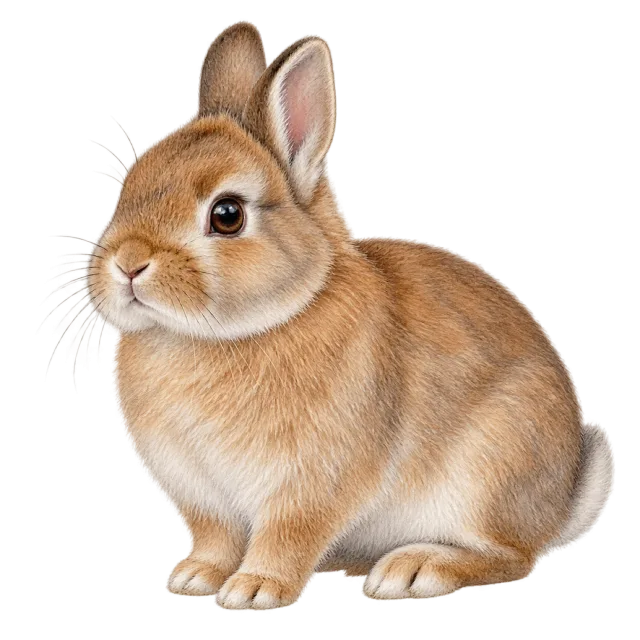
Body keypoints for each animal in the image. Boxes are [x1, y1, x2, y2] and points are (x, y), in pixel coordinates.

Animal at [87, 21, 616, 610]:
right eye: (129, 189)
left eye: (227, 215)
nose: (127, 263)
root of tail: (562, 502)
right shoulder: (200, 493)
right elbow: (215, 536)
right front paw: (194, 578)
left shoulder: (313, 481)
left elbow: (288, 534)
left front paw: (254, 589)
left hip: (488, 472)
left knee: (511, 555)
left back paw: (415, 570)